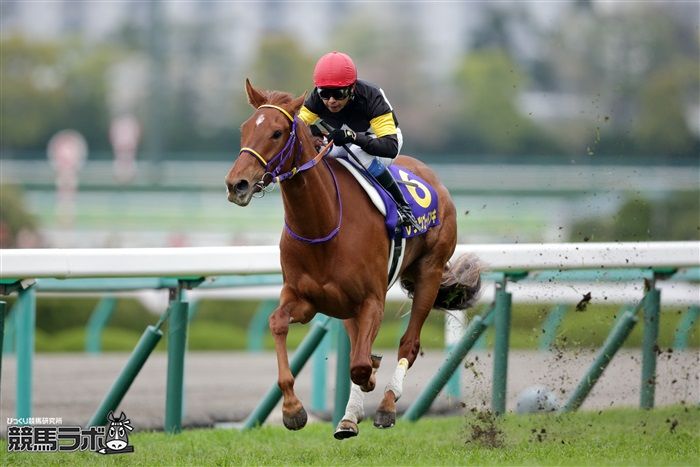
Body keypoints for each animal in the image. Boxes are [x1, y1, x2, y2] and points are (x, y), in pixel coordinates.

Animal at [225, 79, 482, 438]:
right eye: (245, 129)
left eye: (277, 132)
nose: (237, 184)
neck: (323, 224)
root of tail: (434, 179)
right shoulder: (304, 298)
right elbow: (278, 323)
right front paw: (292, 410)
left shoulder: (372, 299)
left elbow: (360, 365)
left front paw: (372, 379)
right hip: (345, 305)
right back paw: (348, 417)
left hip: (429, 274)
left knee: (408, 344)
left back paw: (386, 406)